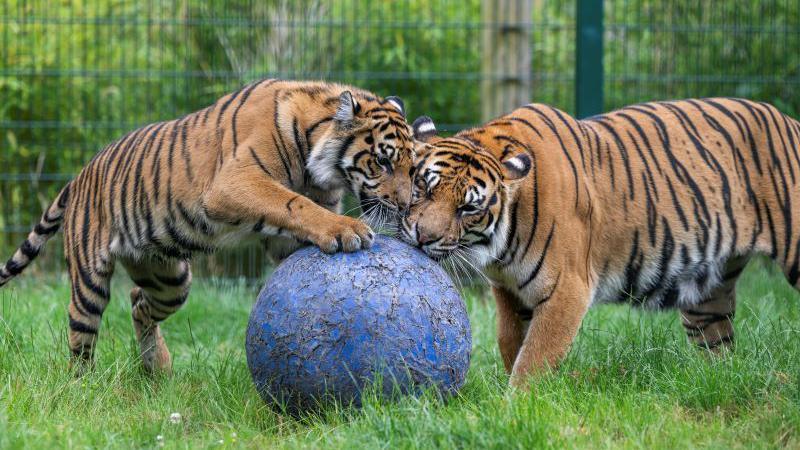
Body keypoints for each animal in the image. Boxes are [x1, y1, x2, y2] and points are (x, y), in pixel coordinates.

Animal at [1, 78, 424, 372]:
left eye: (411, 167)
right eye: (383, 161)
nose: (405, 205)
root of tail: (79, 175)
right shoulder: (233, 182)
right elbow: (293, 203)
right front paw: (345, 229)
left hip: (169, 278)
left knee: (138, 302)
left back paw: (158, 369)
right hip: (89, 280)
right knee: (80, 334)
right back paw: (83, 385)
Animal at [404, 98, 800, 386]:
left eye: (468, 208)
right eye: (424, 186)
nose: (423, 237)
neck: (499, 248)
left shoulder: (567, 289)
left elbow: (535, 356)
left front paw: (515, 407)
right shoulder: (509, 290)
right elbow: (509, 341)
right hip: (707, 295)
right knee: (718, 347)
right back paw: (717, 381)